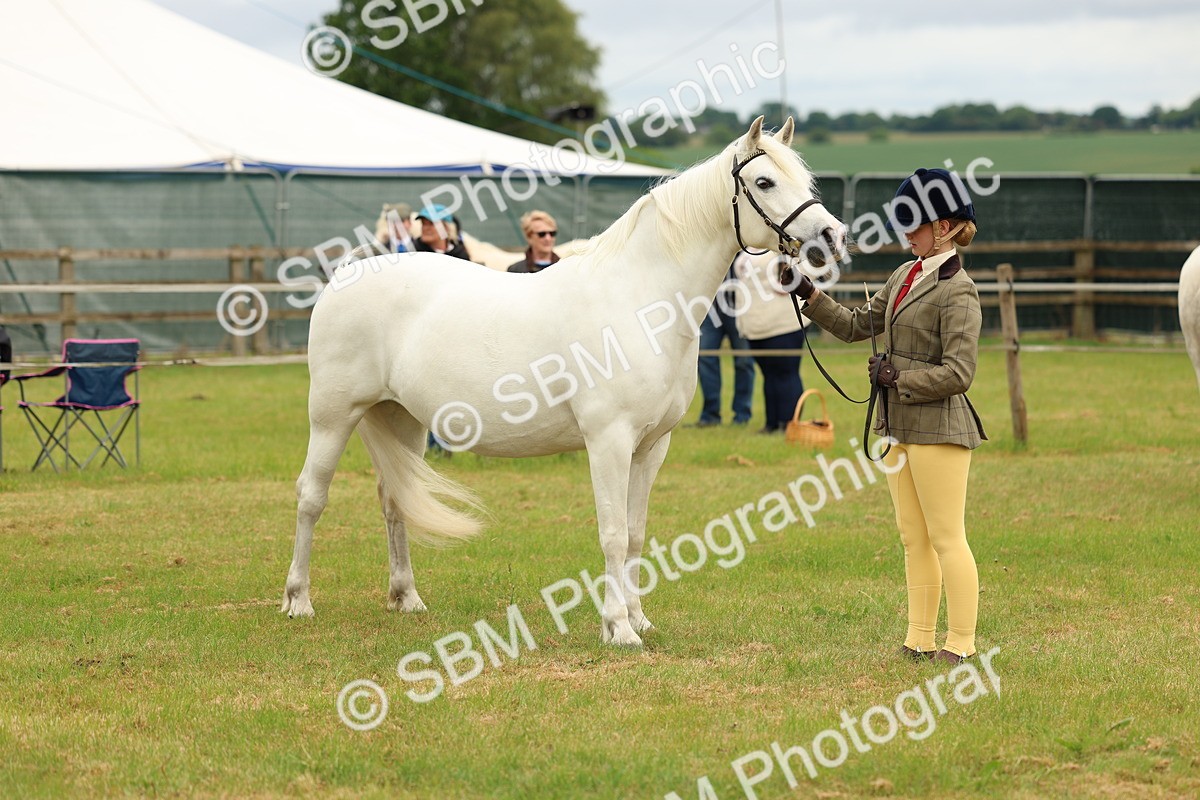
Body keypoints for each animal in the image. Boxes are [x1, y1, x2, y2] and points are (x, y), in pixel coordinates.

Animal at [281, 117, 848, 646]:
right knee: (311, 496)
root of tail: (343, 279)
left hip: (401, 419)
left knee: (394, 499)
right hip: (333, 416)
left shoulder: (652, 446)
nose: (832, 238)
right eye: (764, 181)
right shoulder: (609, 441)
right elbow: (613, 534)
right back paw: (298, 601)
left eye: (804, 179)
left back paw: (406, 598)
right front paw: (618, 629)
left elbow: (636, 534)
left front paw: (640, 620)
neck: (639, 300)